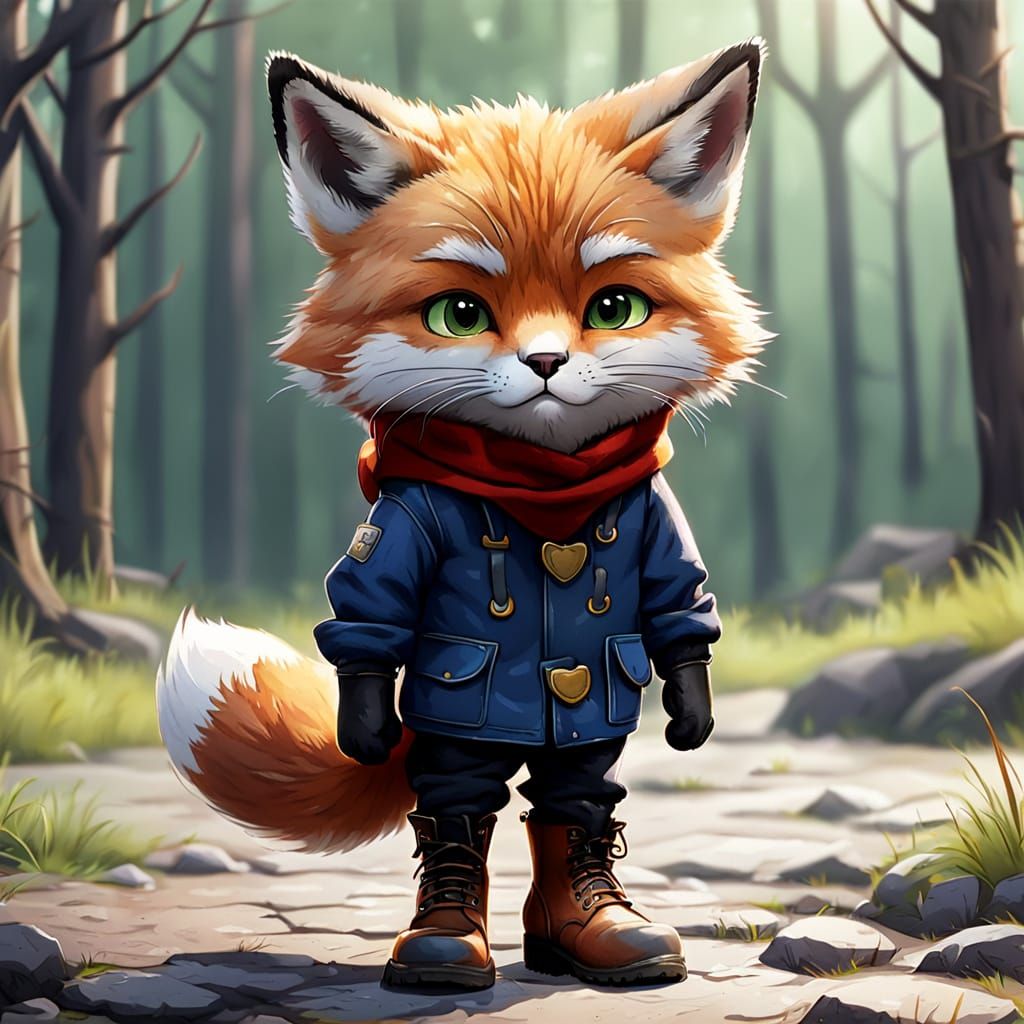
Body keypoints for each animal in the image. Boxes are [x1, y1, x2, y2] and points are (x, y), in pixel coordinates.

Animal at [157, 38, 769, 992]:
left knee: (573, 794)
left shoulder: (654, 521)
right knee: (460, 796)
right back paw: (448, 940)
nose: (547, 362)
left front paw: (690, 713)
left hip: (587, 716)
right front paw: (368, 732)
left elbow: (679, 606)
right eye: (459, 313)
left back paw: (586, 932)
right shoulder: (404, 525)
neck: (543, 484)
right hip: (456, 710)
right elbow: (369, 618)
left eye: (614, 307)